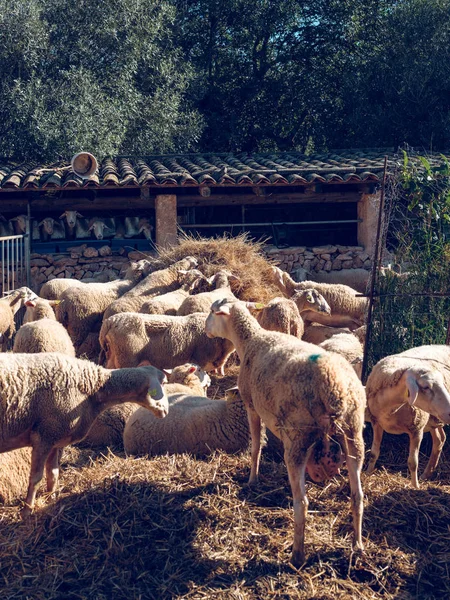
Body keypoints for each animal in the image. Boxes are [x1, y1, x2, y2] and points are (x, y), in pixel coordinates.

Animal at [0, 352, 168, 516]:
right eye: (163, 384)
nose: (166, 411)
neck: (93, 388)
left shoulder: (55, 438)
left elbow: (52, 475)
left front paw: (51, 501)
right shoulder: (44, 436)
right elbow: (36, 478)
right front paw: (27, 511)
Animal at [204, 298, 366, 568]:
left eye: (212, 312)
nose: (206, 331)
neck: (251, 339)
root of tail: (334, 388)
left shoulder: (251, 405)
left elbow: (256, 446)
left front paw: (253, 478)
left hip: (298, 439)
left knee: (301, 503)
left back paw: (297, 555)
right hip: (354, 434)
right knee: (357, 496)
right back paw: (357, 546)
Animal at [364, 346, 450, 488]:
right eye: (426, 387)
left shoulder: (417, 429)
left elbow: (413, 462)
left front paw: (415, 486)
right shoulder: (376, 423)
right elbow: (373, 453)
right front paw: (367, 473)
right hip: (433, 418)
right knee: (440, 439)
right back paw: (426, 474)